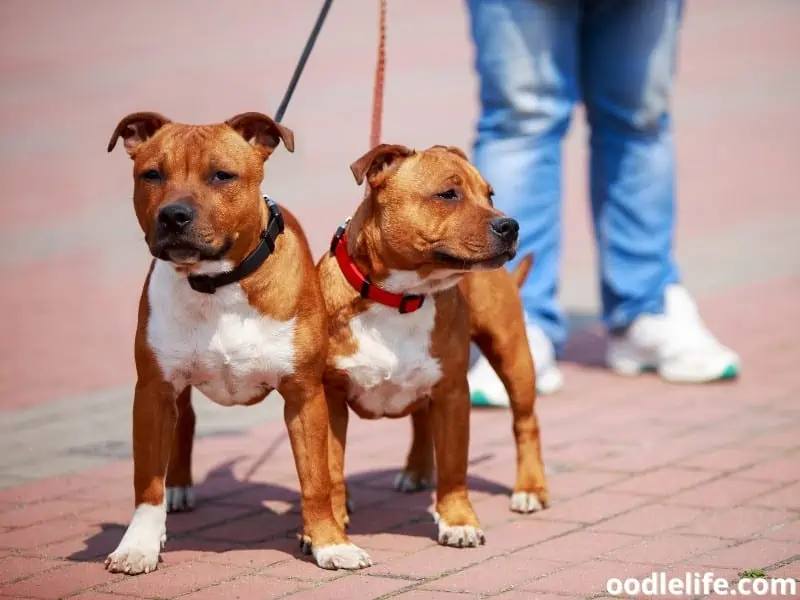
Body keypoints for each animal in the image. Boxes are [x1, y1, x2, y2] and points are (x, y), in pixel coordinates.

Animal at [102, 110, 372, 576]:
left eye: (222, 175)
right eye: (151, 174)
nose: (173, 215)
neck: (218, 283)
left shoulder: (304, 395)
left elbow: (316, 479)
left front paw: (329, 543)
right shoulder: (153, 392)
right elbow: (147, 483)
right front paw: (138, 545)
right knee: (185, 421)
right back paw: (178, 488)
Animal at [318, 143, 552, 548]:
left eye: (490, 195)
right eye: (448, 195)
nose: (510, 225)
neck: (397, 297)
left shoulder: (453, 393)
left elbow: (454, 466)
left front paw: (457, 521)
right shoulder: (331, 397)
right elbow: (332, 467)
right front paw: (333, 521)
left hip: (512, 356)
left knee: (526, 423)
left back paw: (530, 489)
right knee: (421, 418)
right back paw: (415, 471)